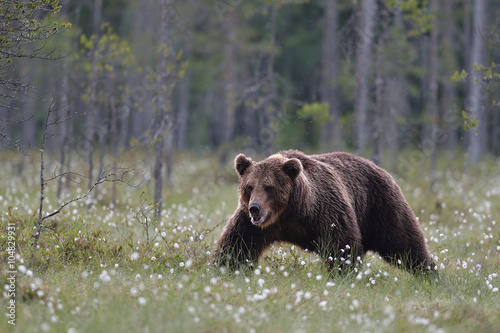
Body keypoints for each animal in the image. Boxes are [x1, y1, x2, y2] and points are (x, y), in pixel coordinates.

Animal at [213, 149, 436, 274]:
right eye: (250, 186)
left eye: (269, 187)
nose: (255, 208)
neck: (289, 214)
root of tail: (379, 167)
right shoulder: (252, 224)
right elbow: (237, 245)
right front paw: (224, 269)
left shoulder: (326, 211)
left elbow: (341, 245)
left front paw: (341, 274)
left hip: (380, 206)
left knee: (403, 242)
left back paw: (430, 273)